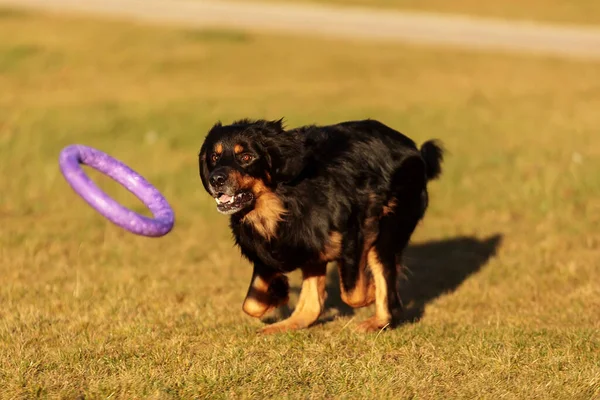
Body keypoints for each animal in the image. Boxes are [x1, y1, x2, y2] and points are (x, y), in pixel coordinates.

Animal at [199, 119, 442, 334]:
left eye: (246, 157)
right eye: (214, 156)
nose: (216, 179)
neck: (282, 203)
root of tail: (415, 150)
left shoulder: (355, 237)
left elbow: (353, 293)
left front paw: (372, 291)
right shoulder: (269, 251)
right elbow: (251, 304)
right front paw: (279, 293)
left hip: (387, 232)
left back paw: (378, 322)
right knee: (311, 306)